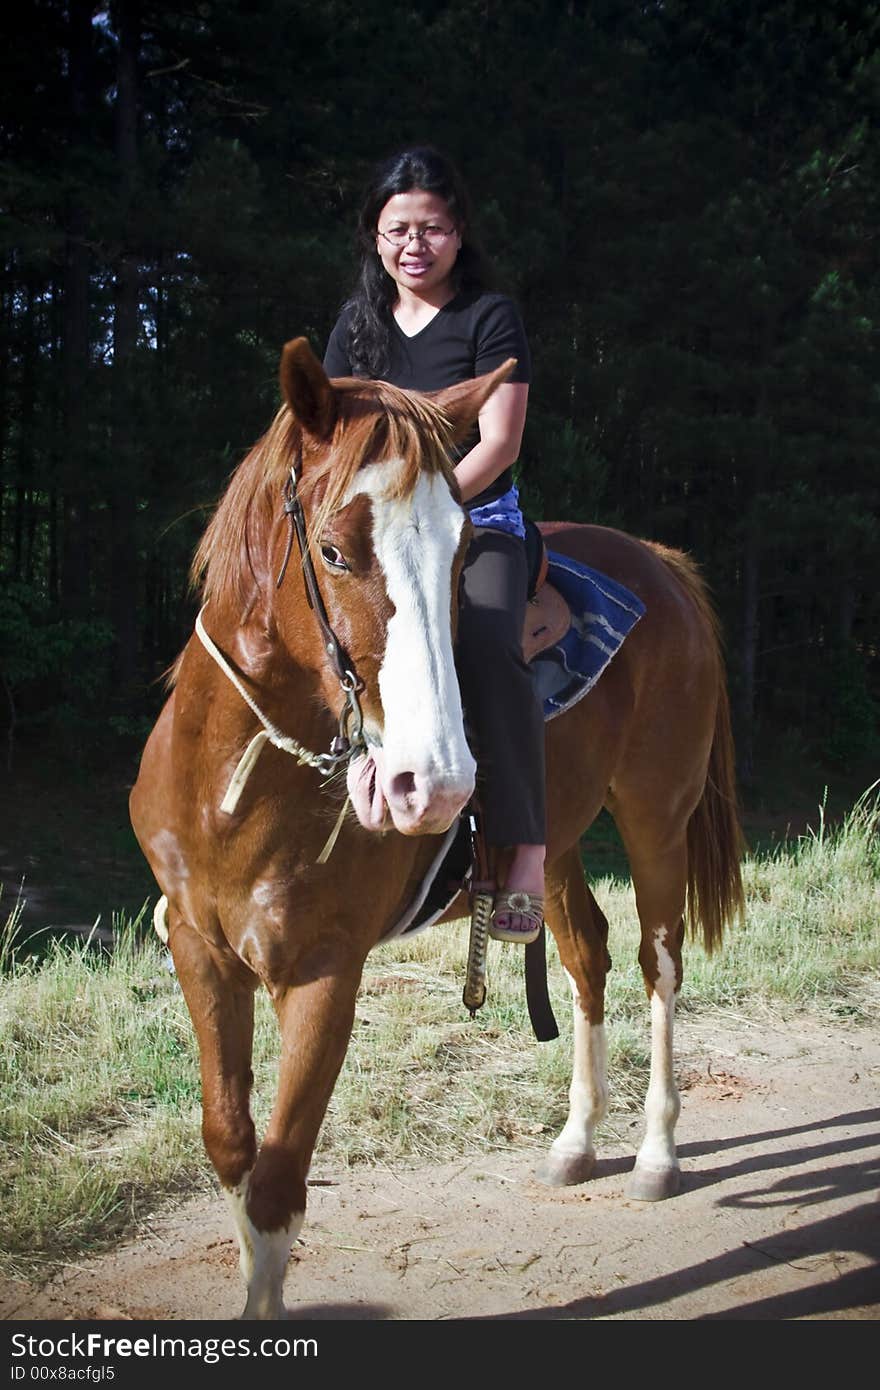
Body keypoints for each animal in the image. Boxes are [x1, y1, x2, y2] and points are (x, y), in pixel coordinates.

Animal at [128, 336, 739, 1312]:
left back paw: (655, 1152)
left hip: (657, 817)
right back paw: (577, 1141)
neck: (243, 776)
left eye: (461, 561)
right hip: (555, 846)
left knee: (660, 963)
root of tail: (659, 563)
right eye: (332, 551)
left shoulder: (325, 972)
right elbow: (231, 1145)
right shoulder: (200, 945)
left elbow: (278, 1179)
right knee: (588, 957)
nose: (436, 786)